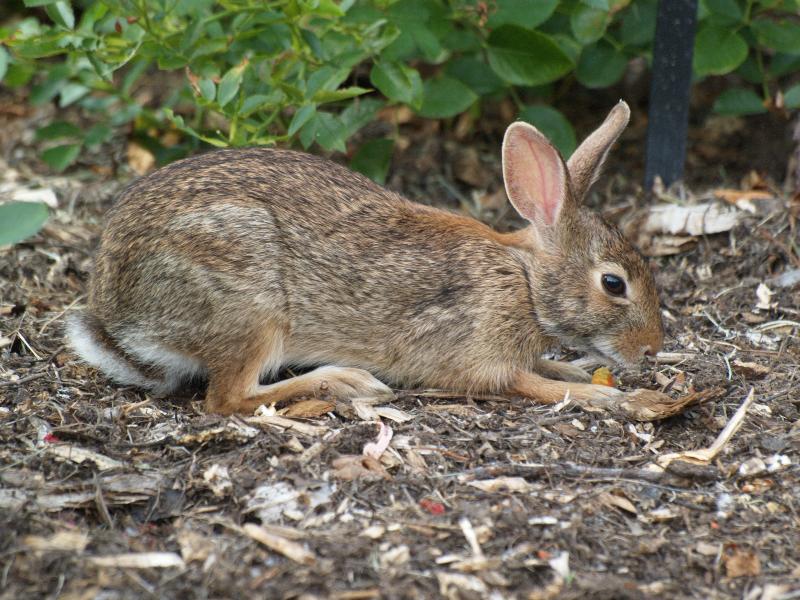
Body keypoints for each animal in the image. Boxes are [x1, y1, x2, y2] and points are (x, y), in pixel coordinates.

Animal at [67, 100, 672, 417]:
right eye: (613, 284)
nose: (651, 349)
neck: (524, 283)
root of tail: (116, 313)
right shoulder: (472, 360)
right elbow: (536, 386)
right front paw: (623, 398)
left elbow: (549, 368)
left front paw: (580, 370)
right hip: (249, 308)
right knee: (228, 398)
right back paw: (345, 382)